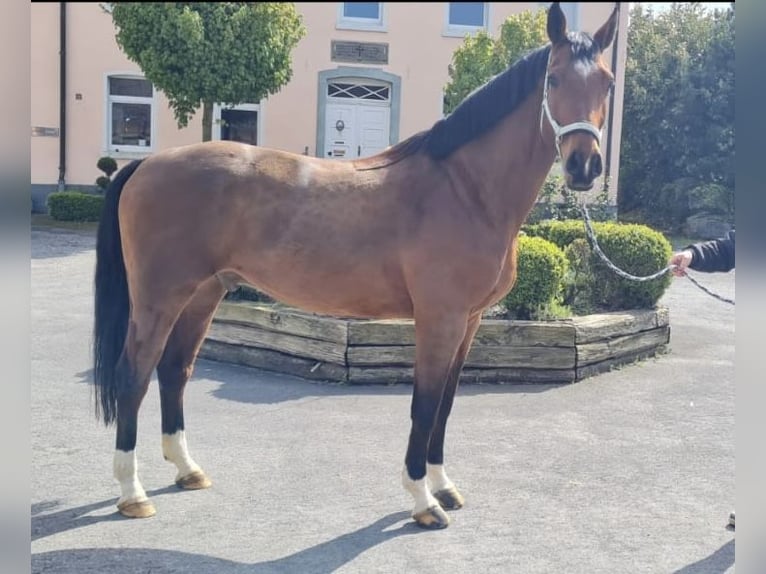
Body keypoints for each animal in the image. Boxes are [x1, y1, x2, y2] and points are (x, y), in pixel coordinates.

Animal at [94, 3, 616, 532]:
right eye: (553, 78)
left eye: (608, 83)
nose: (584, 166)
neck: (464, 188)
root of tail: (145, 165)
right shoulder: (440, 319)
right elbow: (424, 405)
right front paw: (422, 499)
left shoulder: (469, 322)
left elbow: (446, 404)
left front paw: (443, 486)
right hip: (159, 299)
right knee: (132, 375)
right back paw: (131, 492)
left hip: (204, 293)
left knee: (174, 370)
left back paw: (187, 469)